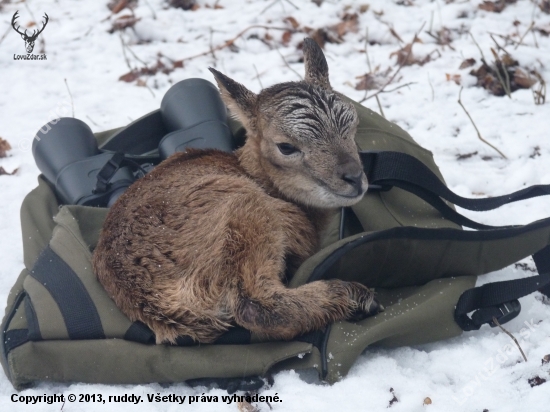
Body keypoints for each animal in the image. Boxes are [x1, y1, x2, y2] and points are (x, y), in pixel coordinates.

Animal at [92, 38, 382, 342]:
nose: (353, 177)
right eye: (285, 146)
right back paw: (355, 296)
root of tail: (157, 300)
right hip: (246, 214)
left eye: (353, 123)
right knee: (255, 305)